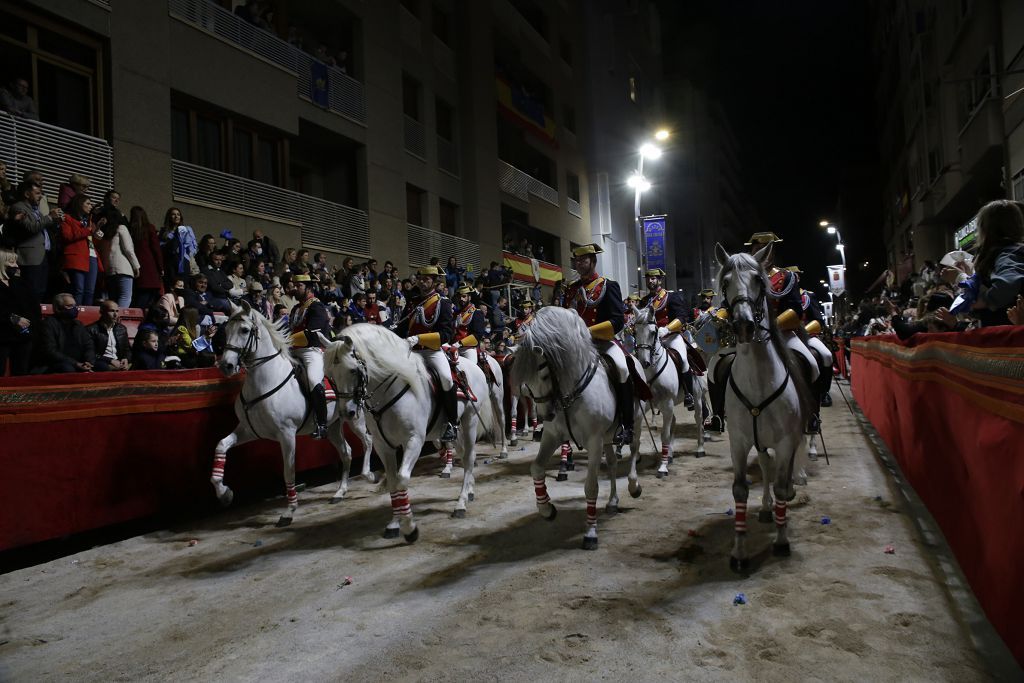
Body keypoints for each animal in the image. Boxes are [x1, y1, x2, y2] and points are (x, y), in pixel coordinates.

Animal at [214, 301, 374, 528]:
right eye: (226, 330)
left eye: (244, 330)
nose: (226, 365)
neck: (264, 380)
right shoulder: (248, 430)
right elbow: (221, 446)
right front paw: (224, 493)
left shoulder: (286, 434)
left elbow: (288, 472)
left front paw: (289, 512)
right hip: (334, 426)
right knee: (347, 452)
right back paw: (340, 492)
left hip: (355, 418)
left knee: (367, 441)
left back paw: (368, 475)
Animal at [319, 321, 499, 540]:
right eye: (329, 374)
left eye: (353, 370)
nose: (347, 413)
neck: (388, 391)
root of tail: (472, 366)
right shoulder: (383, 446)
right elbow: (393, 483)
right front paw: (395, 523)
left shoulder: (413, 441)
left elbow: (402, 479)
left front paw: (409, 527)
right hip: (454, 429)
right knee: (464, 456)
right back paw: (470, 490)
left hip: (470, 421)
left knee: (469, 457)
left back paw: (461, 502)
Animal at [512, 307, 638, 552]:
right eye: (527, 382)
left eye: (543, 374)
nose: (546, 415)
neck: (571, 390)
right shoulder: (553, 436)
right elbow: (536, 468)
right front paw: (546, 509)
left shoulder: (594, 441)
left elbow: (591, 486)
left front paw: (590, 533)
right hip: (607, 438)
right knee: (613, 463)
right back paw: (613, 502)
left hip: (633, 422)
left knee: (635, 451)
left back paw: (634, 486)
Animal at [626, 305, 708, 475]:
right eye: (635, 332)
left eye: (653, 332)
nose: (643, 362)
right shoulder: (642, 405)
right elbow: (637, 435)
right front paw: (636, 457)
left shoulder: (668, 403)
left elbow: (664, 434)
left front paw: (662, 467)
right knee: (674, 422)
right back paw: (669, 454)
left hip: (696, 398)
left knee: (698, 419)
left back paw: (700, 448)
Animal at [716, 245, 811, 573]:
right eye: (725, 282)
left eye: (759, 279)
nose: (744, 325)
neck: (758, 380)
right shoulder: (739, 441)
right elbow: (741, 490)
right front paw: (739, 552)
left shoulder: (785, 441)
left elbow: (782, 485)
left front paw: (782, 542)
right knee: (768, 469)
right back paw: (768, 509)